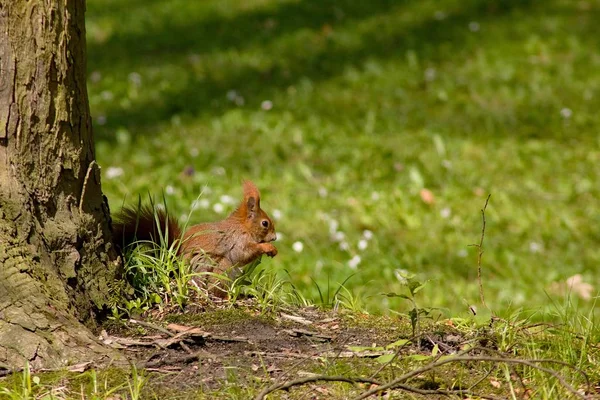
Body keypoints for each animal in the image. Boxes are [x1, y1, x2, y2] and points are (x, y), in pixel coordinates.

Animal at [111, 181, 278, 294]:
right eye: (265, 223)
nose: (275, 238)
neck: (243, 227)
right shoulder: (237, 240)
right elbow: (243, 254)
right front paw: (268, 247)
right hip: (217, 267)